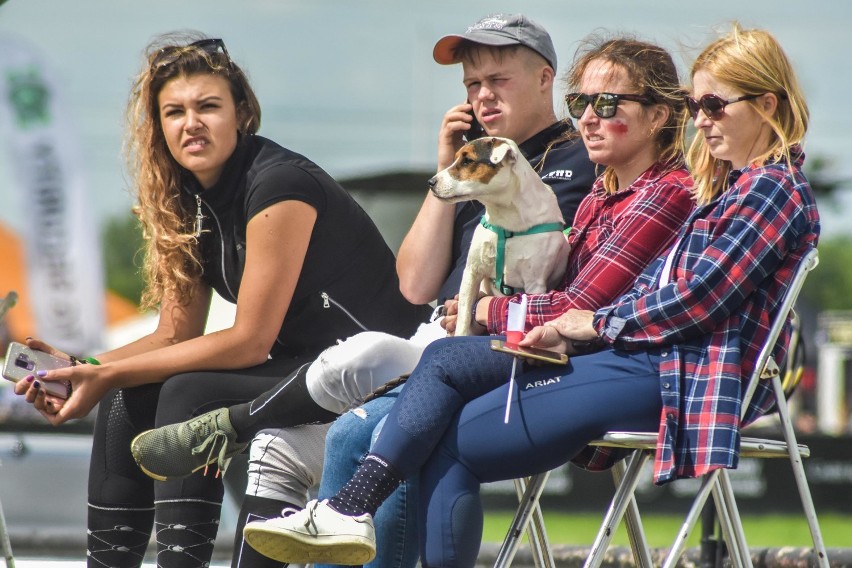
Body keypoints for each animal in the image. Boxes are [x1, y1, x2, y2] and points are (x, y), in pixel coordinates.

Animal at [430, 135, 568, 336]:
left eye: (467, 160)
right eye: (455, 159)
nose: (430, 182)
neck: (506, 220)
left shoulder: (535, 284)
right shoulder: (472, 272)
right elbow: (464, 316)